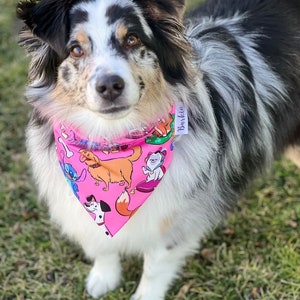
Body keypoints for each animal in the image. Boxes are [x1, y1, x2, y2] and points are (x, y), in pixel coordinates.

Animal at [17, 0, 300, 298]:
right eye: (76, 49)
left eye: (132, 39)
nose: (110, 86)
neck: (113, 140)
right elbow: (101, 244)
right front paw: (104, 277)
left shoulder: (174, 217)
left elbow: (155, 265)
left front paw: (144, 294)